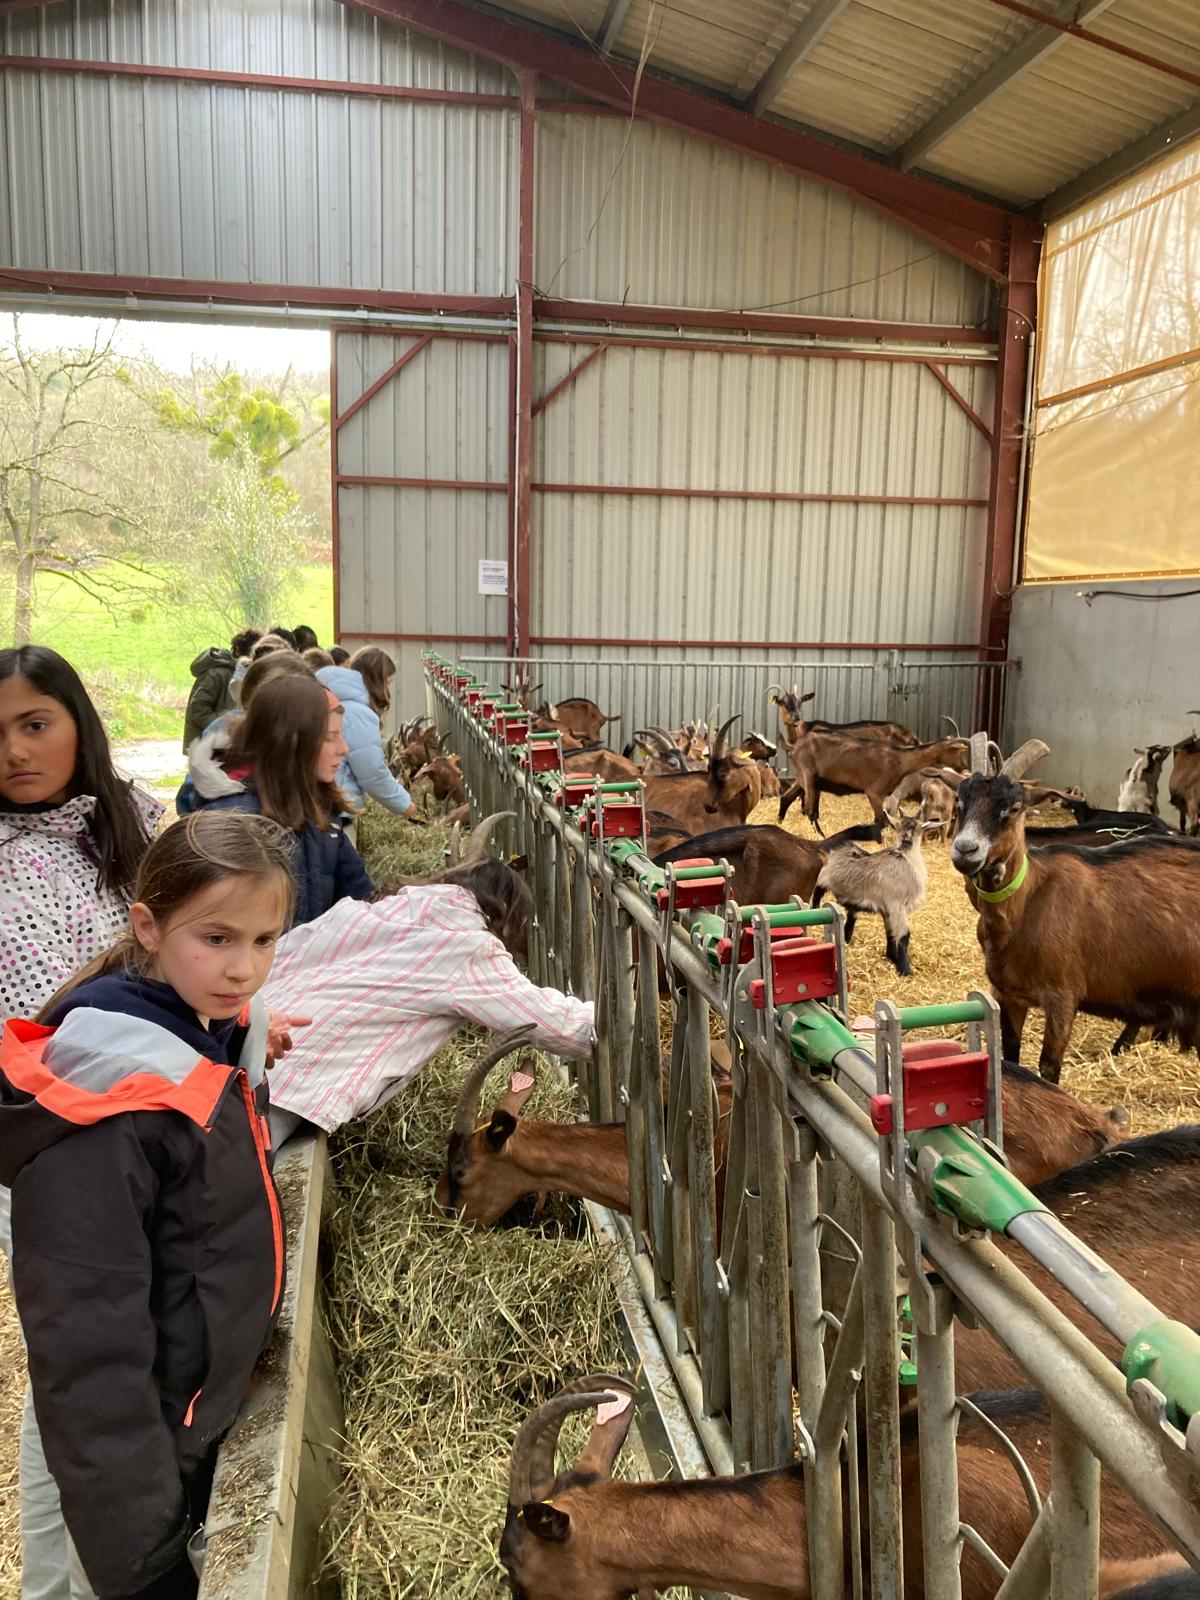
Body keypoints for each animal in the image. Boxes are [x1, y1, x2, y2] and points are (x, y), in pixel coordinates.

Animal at [778, 729, 968, 832]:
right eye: (956, 751)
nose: (964, 767)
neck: (900, 759)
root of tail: (793, 747)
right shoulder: (874, 792)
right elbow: (881, 821)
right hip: (808, 775)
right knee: (810, 811)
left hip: (804, 778)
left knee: (786, 798)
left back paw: (779, 822)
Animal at [811, 809, 939, 974]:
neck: (905, 856)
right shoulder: (897, 906)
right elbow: (904, 935)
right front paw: (905, 969)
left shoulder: (888, 910)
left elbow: (890, 932)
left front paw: (892, 957)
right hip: (821, 882)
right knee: (815, 899)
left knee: (851, 917)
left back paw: (847, 939)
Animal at [951, 735, 1200, 1080]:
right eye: (959, 803)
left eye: (1013, 807)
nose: (965, 850)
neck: (1027, 903)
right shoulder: (1008, 994)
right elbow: (1012, 1057)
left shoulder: (1063, 995)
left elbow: (1049, 1066)